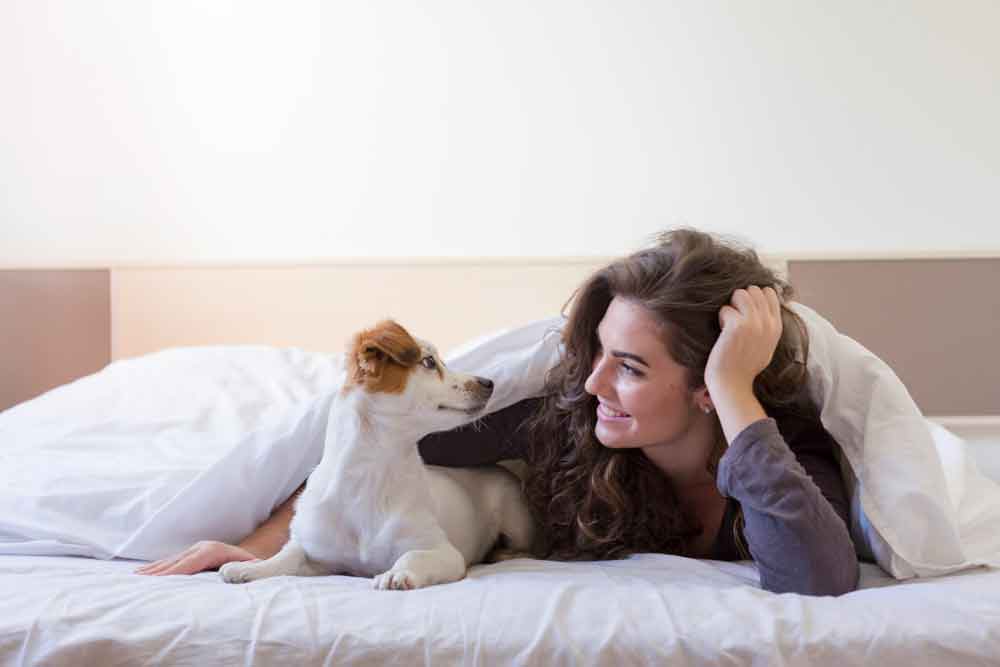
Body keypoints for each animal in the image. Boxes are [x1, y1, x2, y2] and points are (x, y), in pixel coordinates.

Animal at [216, 320, 536, 592]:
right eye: (429, 362)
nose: (489, 383)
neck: (371, 476)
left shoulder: (442, 552)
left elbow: (412, 557)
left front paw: (398, 573)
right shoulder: (319, 552)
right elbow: (287, 556)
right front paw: (252, 568)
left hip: (517, 520)